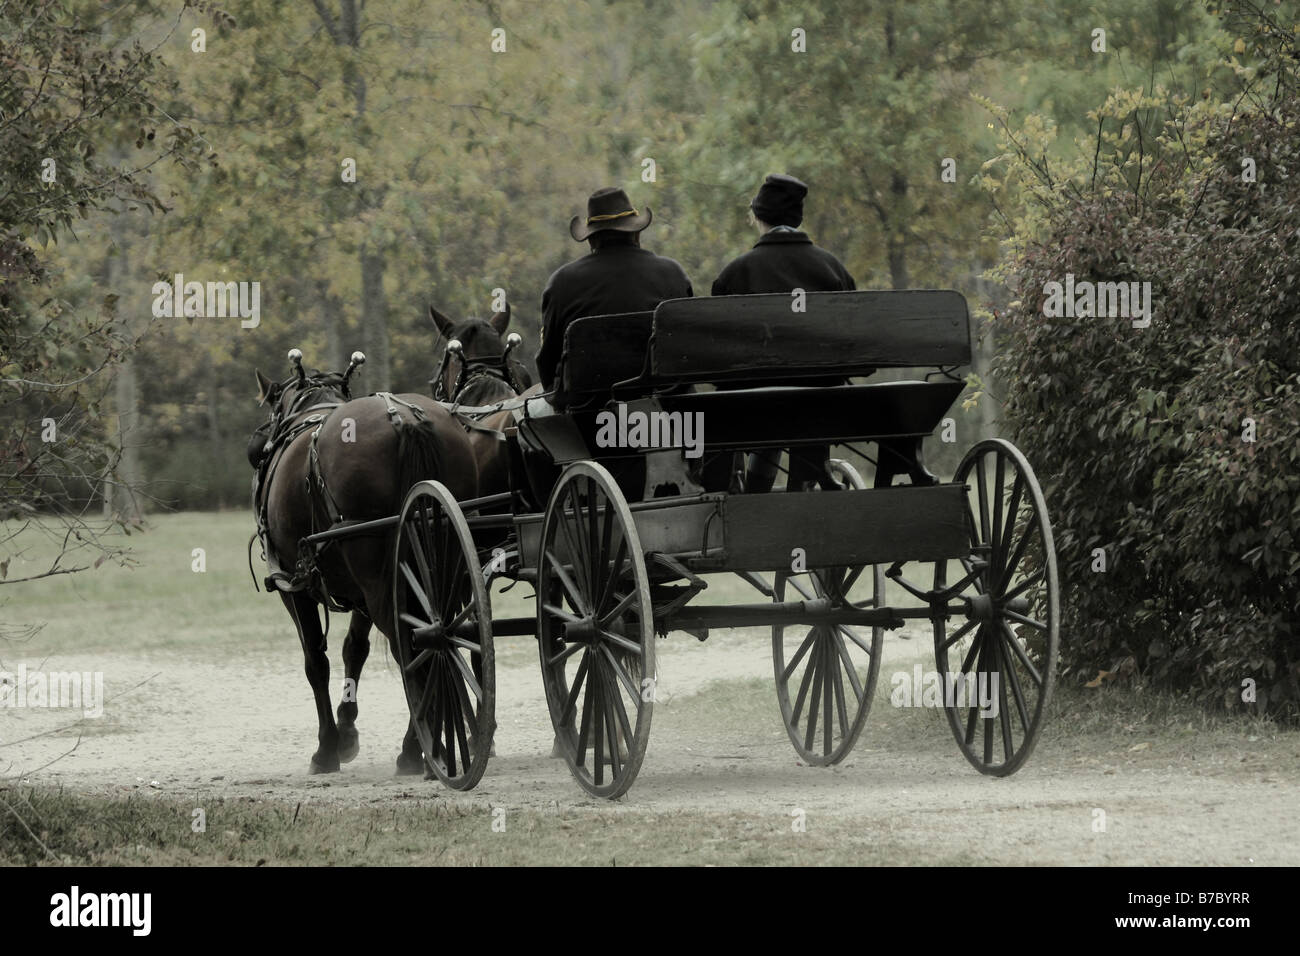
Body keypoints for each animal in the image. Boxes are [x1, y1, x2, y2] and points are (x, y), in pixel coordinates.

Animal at [248, 353, 478, 780]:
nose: (259, 444)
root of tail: (405, 418)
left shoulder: (295, 587)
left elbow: (316, 662)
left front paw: (327, 748)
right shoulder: (361, 594)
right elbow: (354, 649)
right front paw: (346, 730)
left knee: (416, 647)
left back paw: (420, 750)